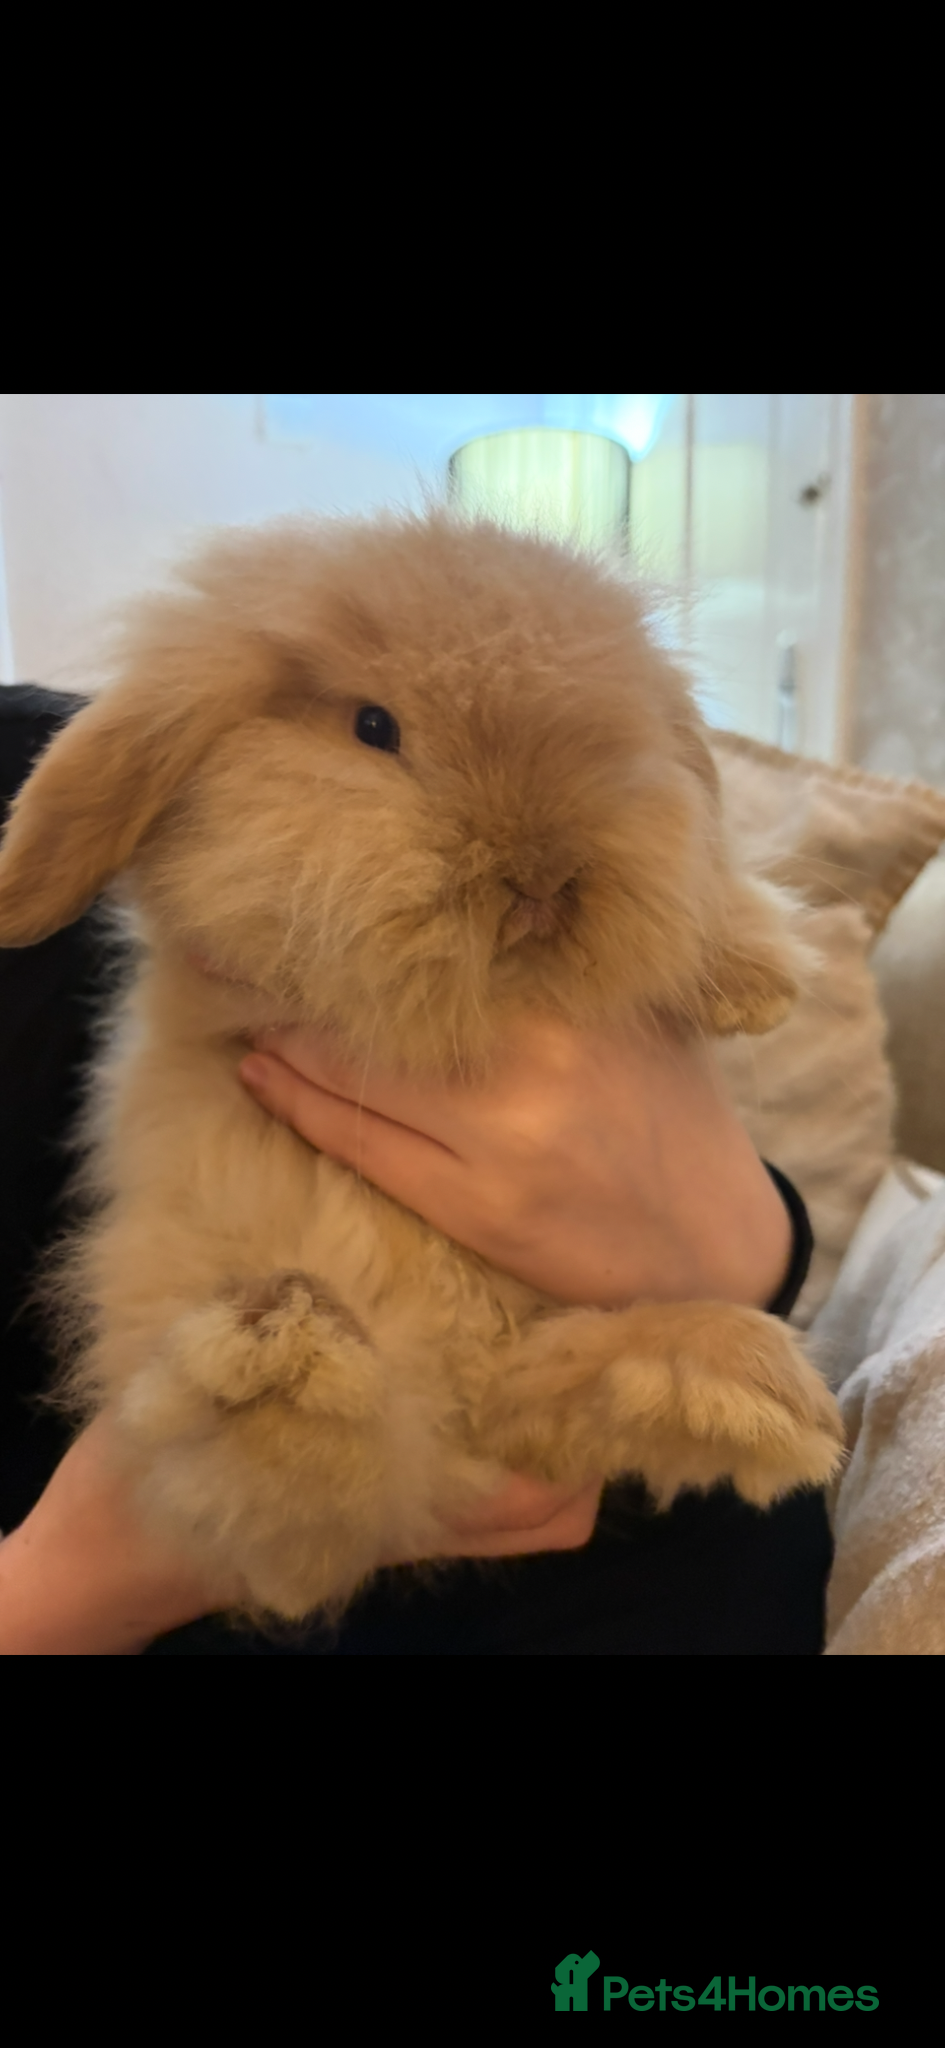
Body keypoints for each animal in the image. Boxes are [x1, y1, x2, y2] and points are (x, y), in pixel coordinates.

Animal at [0, 508, 844, 1621]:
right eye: (373, 728)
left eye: (618, 745)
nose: (541, 879)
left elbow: (701, 881)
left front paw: (755, 975)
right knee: (298, 1522)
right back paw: (286, 1360)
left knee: (530, 1405)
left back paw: (732, 1387)